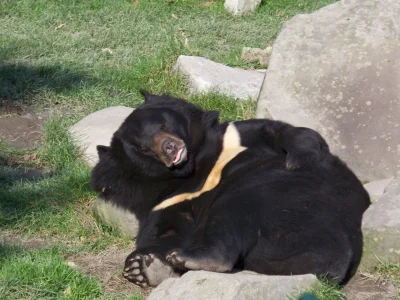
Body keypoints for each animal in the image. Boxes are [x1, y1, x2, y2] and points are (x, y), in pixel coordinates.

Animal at [90, 91, 368, 288]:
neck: (193, 168)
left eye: (162, 126)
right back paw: (158, 265)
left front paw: (297, 160)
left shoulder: (235, 137)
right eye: (144, 148)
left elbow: (282, 131)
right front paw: (139, 265)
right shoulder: (166, 199)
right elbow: (166, 231)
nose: (170, 147)